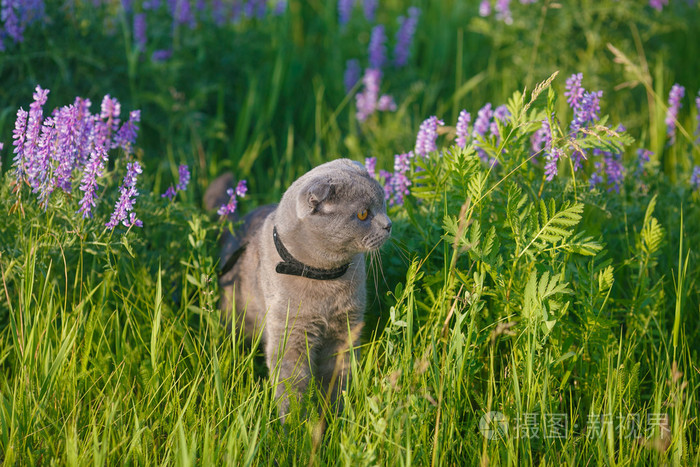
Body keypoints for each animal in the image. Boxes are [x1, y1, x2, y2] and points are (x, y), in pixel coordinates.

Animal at [205, 159, 394, 418]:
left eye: (383, 202)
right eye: (363, 214)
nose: (389, 225)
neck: (326, 280)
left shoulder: (345, 328)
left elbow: (338, 376)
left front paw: (335, 415)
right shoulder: (289, 332)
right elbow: (291, 385)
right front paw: (294, 424)